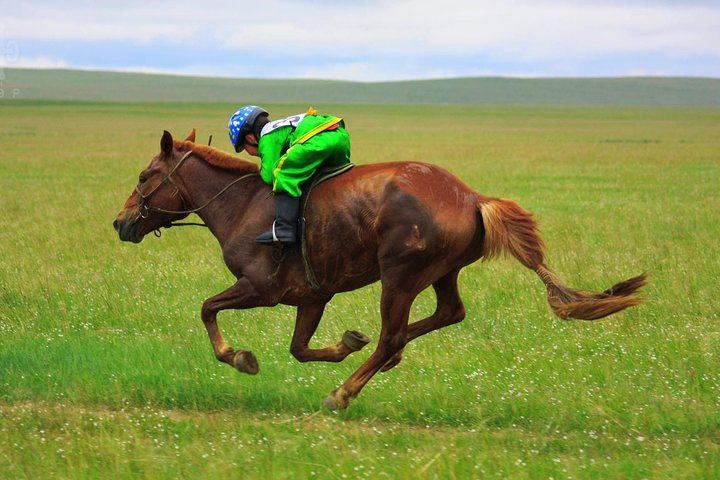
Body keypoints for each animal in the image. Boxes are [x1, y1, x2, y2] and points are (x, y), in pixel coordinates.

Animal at [112, 129, 648, 410]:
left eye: (144, 175)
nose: (120, 222)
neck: (244, 203)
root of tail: (473, 196)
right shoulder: (312, 297)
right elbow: (300, 348)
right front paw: (346, 342)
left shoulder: (259, 288)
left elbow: (208, 309)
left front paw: (240, 357)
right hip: (440, 273)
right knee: (448, 313)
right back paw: (382, 358)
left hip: (400, 278)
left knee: (394, 333)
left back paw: (344, 392)